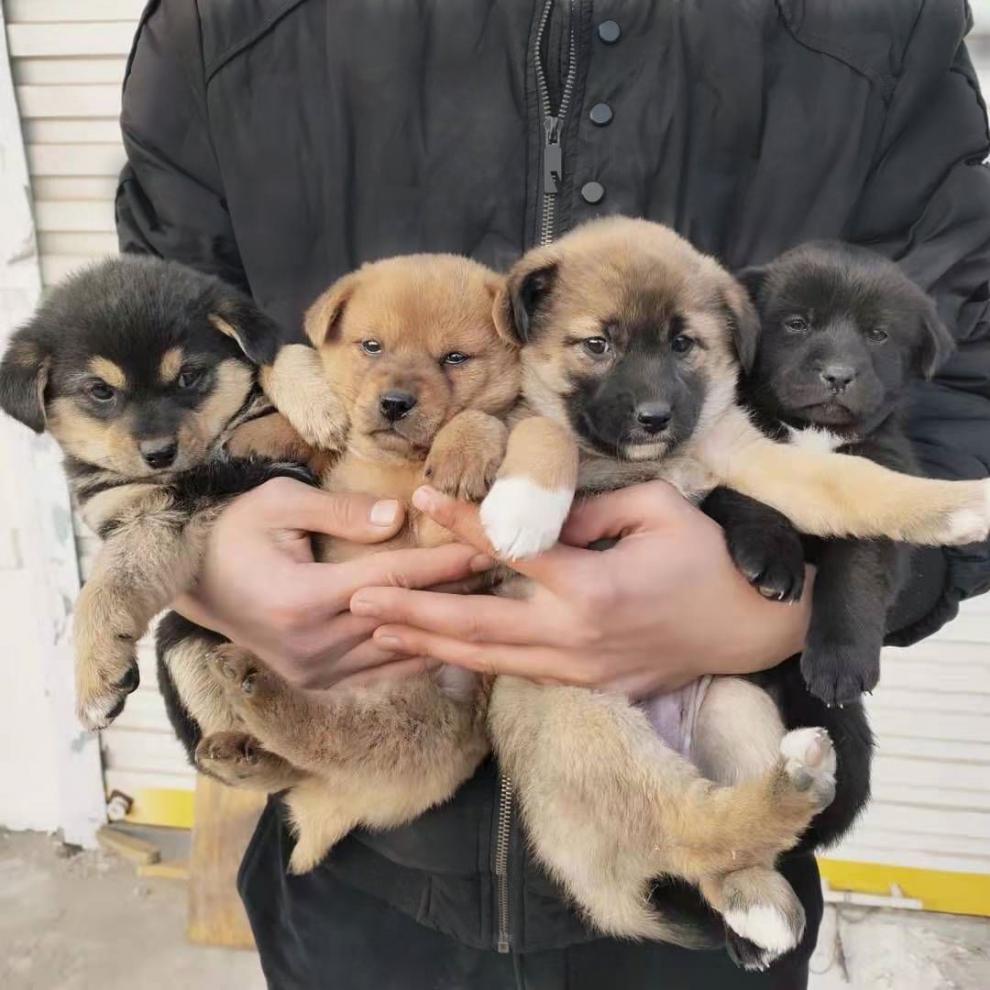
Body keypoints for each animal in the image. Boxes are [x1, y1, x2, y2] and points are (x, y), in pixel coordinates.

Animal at [704, 241, 952, 708]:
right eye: (797, 324)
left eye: (878, 334)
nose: (838, 375)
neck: (815, 432)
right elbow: (757, 491)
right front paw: (772, 556)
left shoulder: (881, 488)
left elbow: (856, 570)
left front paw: (841, 660)